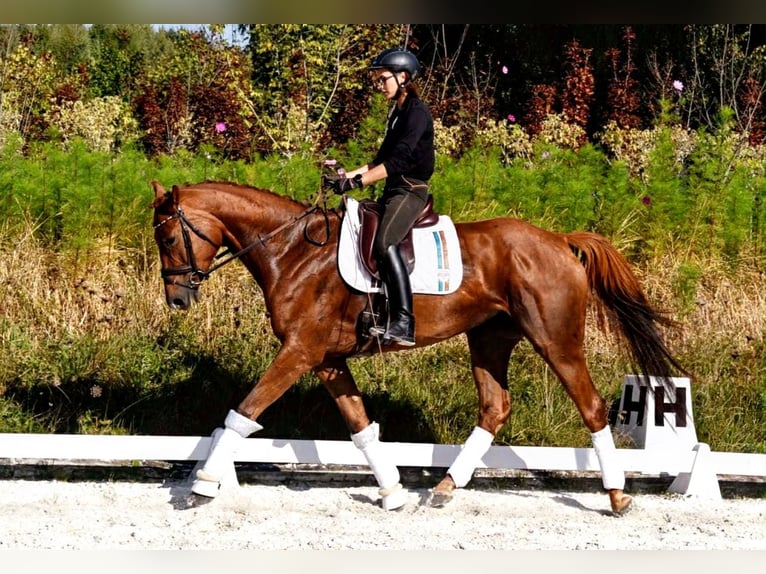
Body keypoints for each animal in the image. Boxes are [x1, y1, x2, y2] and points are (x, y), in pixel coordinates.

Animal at [150, 179, 685, 515]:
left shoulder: (299, 352)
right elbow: (361, 427)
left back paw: (617, 497)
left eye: (170, 237)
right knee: (494, 407)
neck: (294, 252)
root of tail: (558, 239)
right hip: (489, 339)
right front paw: (392, 493)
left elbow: (243, 411)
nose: (177, 299)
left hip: (555, 339)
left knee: (591, 406)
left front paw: (202, 487)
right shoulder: (327, 359)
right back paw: (445, 487)